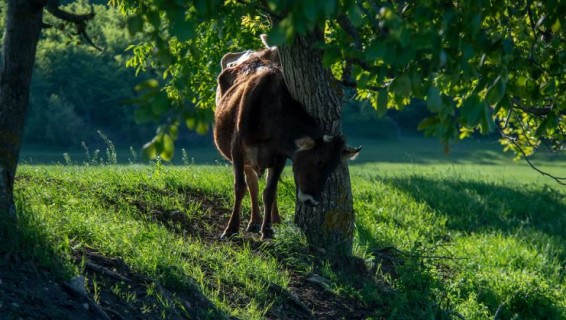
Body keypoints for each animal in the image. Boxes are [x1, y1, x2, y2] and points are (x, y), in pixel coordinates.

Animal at [215, 52, 362, 240]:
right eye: (318, 161)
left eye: (334, 167)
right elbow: (240, 187)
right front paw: (231, 229)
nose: (312, 201)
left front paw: (267, 229)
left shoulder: (279, 157)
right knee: (252, 184)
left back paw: (272, 219)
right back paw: (254, 221)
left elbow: (270, 192)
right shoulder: (237, 149)